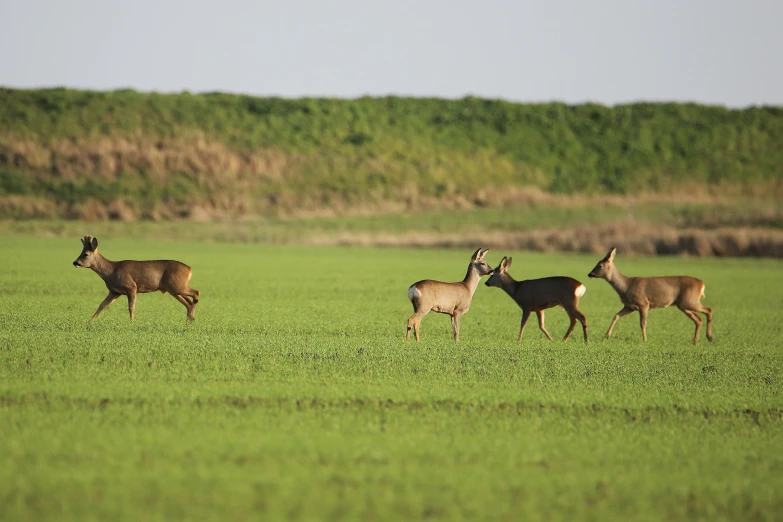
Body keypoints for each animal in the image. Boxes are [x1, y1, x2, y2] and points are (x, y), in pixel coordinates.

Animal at [73, 236, 201, 320]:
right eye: (81, 252)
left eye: (85, 254)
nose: (75, 262)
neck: (111, 271)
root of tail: (189, 269)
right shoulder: (114, 292)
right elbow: (102, 305)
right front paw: (89, 322)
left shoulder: (131, 287)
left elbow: (131, 307)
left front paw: (132, 322)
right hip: (174, 289)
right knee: (188, 303)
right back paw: (189, 320)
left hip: (177, 286)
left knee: (196, 293)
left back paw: (192, 317)